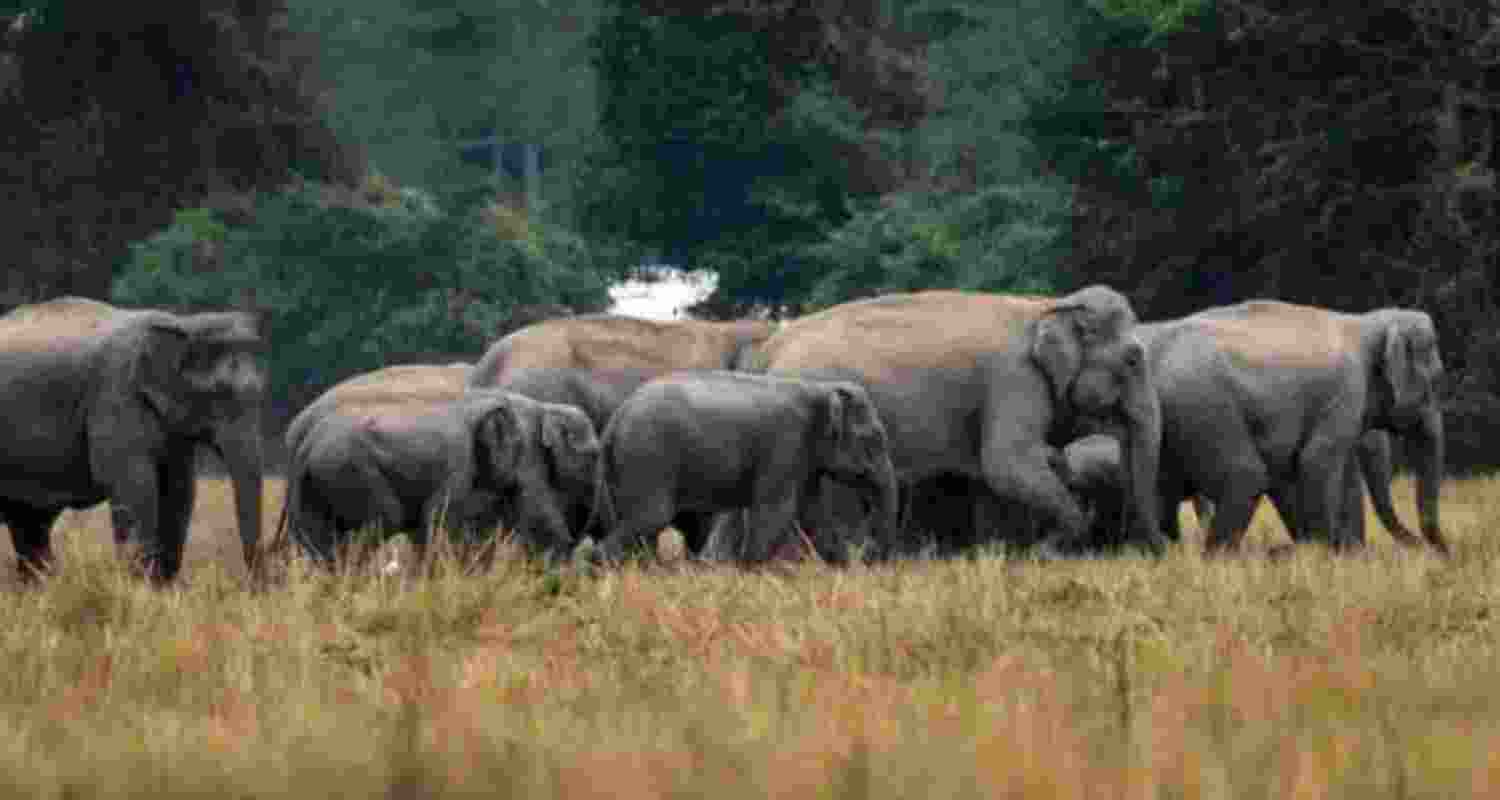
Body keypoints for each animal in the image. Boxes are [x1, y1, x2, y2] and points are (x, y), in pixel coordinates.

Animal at [0, 297, 264, 583]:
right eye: (218, 394)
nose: (253, 585)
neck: (183, 323)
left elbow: (179, 490)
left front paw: (161, 586)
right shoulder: (117, 396)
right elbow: (134, 486)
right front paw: (139, 585)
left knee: (30, 527)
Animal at [279, 385, 600, 570]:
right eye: (593, 456)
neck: (545, 407)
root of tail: (304, 444)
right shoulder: (464, 464)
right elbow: (441, 523)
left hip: (312, 485)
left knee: (318, 541)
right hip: (352, 470)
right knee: (383, 520)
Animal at [589, 371, 900, 566]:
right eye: (873, 440)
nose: (868, 558)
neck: (820, 388)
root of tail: (615, 420)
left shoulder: (803, 460)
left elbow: (813, 516)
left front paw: (844, 573)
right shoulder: (785, 443)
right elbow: (776, 513)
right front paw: (748, 571)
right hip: (648, 457)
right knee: (651, 518)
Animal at [738, 288, 1164, 558]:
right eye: (1132, 359)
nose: (1158, 550)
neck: (1048, 306)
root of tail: (766, 353)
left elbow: (993, 483)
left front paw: (1002, 557)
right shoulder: (1015, 381)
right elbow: (1008, 465)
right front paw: (1046, 554)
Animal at [1133, 300, 1447, 555]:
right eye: (1437, 379)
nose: (1441, 553)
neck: (1369, 321)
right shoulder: (1345, 393)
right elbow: (1317, 462)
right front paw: (1324, 554)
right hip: (1206, 407)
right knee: (1246, 477)